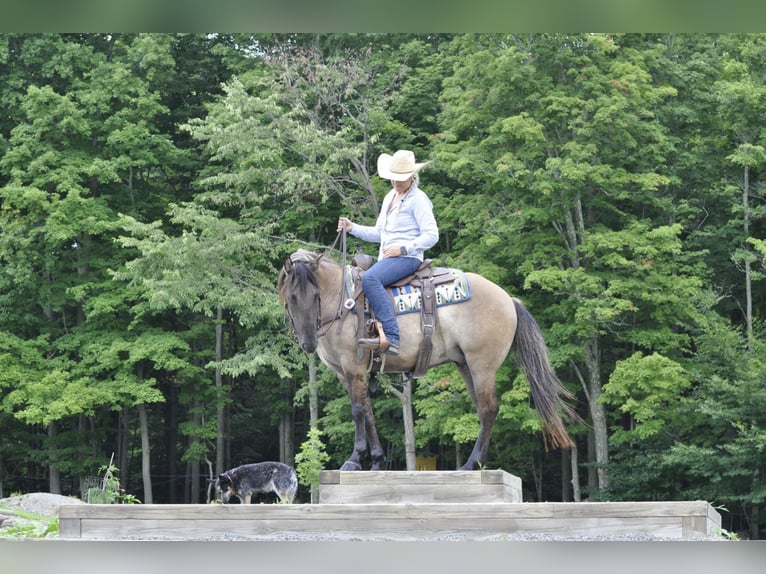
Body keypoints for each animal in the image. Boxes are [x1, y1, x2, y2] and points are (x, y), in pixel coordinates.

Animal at [280, 249, 576, 472]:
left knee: (489, 409)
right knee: (483, 410)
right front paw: (375, 461)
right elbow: (368, 412)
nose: (308, 342)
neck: (345, 302)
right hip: (466, 366)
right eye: (291, 298)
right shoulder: (350, 373)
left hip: (482, 365)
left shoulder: (353, 368)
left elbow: (357, 411)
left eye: (315, 296)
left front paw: (354, 460)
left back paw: (471, 464)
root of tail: (507, 298)